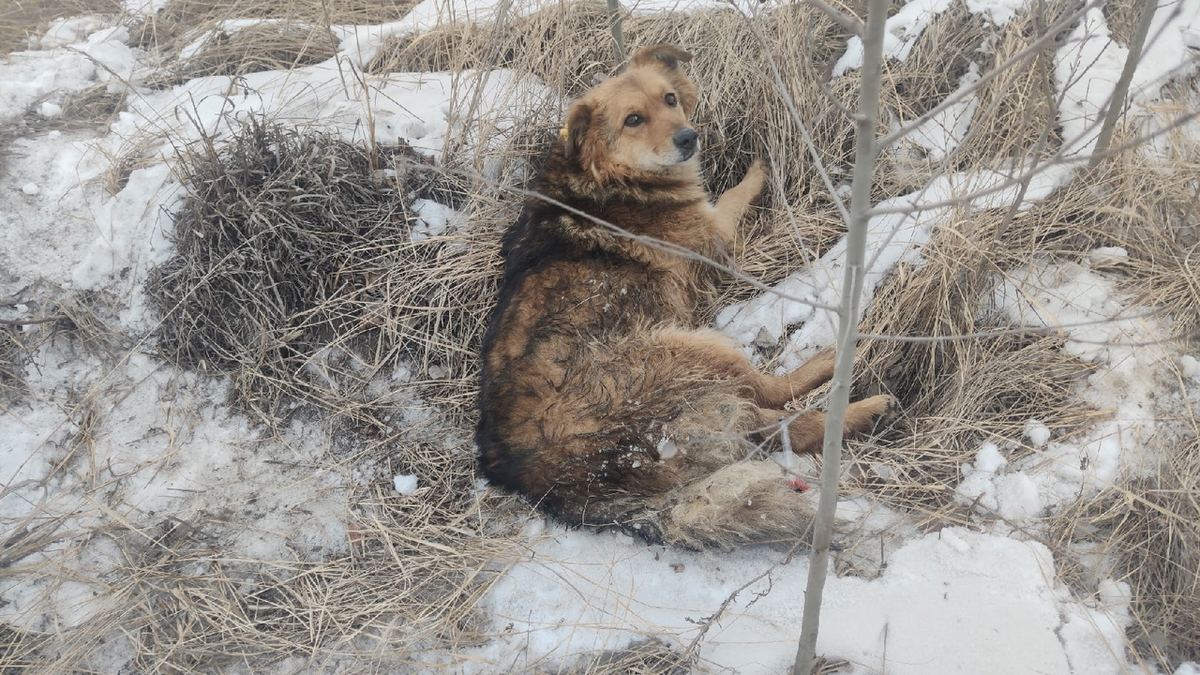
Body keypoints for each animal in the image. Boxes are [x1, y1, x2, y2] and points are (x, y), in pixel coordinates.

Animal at [475, 43, 892, 547]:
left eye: (670, 99)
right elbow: (733, 195)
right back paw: (849, 381)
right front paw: (758, 169)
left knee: (769, 427)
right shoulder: (714, 238)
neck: (608, 175)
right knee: (770, 394)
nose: (689, 137)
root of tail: (548, 481)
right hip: (686, 348)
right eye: (633, 119)